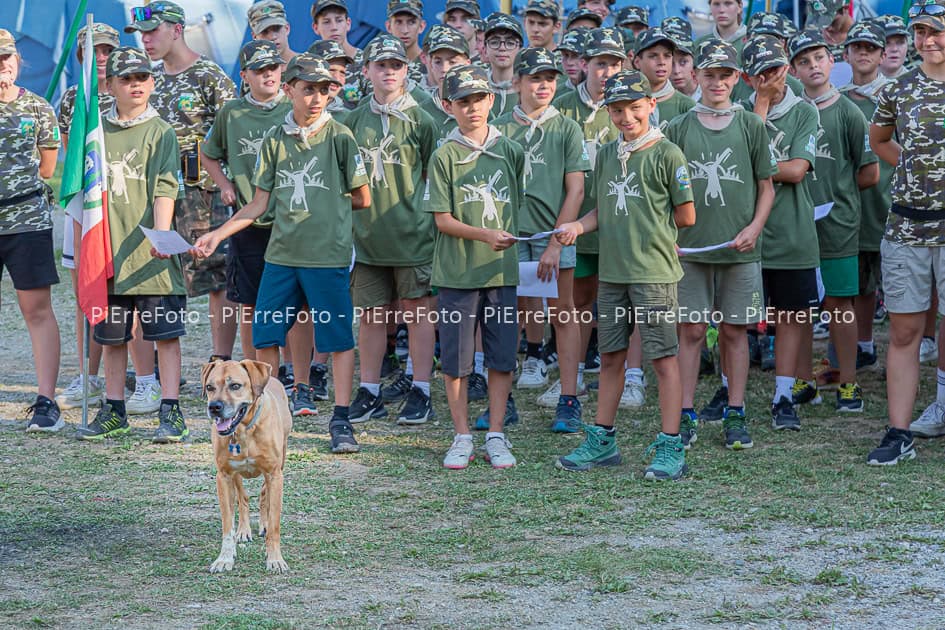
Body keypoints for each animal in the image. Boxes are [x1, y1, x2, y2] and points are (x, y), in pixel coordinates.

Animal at [204, 360, 294, 572]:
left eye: (235, 385)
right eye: (209, 387)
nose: (214, 407)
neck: (244, 430)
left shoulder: (274, 475)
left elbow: (275, 523)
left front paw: (275, 559)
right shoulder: (224, 476)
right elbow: (227, 525)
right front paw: (225, 558)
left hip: (280, 462)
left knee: (264, 495)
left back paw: (263, 524)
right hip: (236, 475)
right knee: (242, 498)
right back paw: (243, 530)